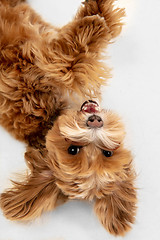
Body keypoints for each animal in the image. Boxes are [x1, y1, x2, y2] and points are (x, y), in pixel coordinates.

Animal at [0, 0, 138, 236]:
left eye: (107, 153)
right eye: (73, 150)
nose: (95, 121)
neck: (49, 116)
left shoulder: (47, 52)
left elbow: (74, 57)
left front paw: (97, 18)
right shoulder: (44, 55)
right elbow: (74, 56)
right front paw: (96, 19)